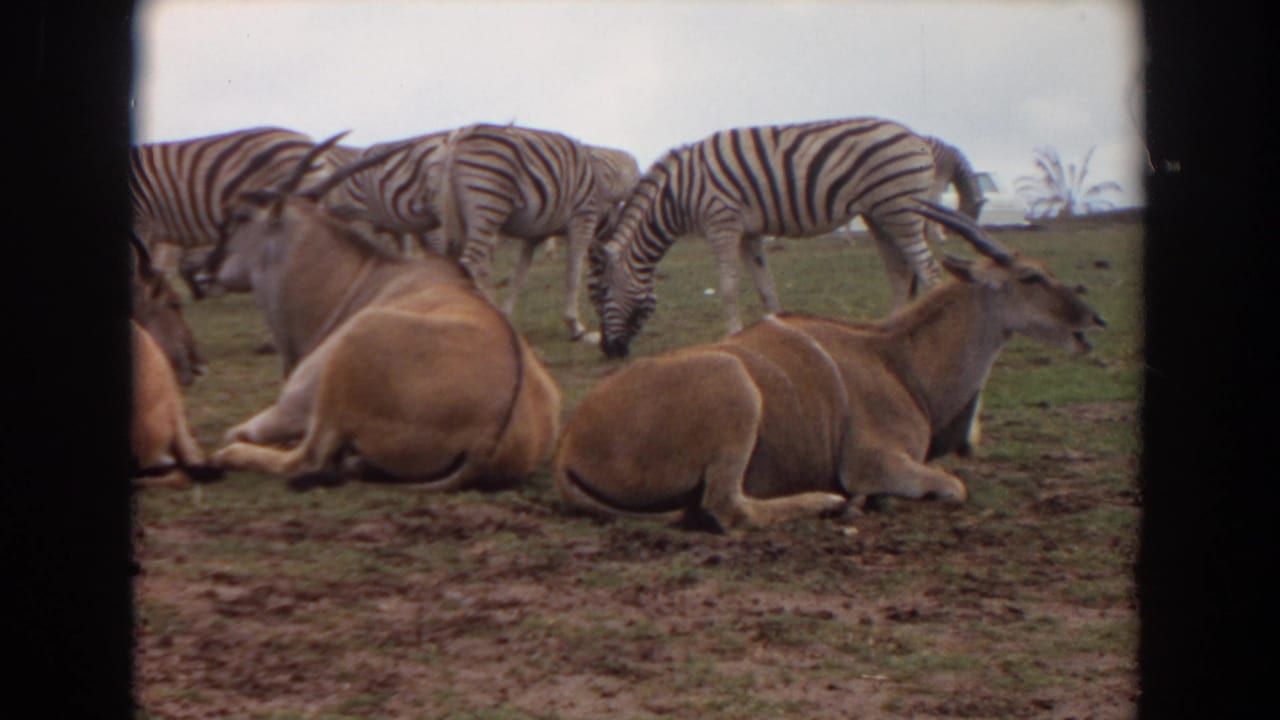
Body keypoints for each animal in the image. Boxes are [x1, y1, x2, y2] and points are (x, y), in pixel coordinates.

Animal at [434, 123, 641, 341]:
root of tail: (459, 137)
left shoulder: (534, 235)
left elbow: (519, 278)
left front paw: (506, 316)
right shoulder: (583, 220)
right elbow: (573, 272)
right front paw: (576, 327)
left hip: (456, 218)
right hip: (488, 207)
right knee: (469, 264)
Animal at [587, 117, 941, 359]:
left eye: (603, 294)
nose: (609, 351)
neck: (678, 196)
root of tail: (916, 136)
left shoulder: (722, 223)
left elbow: (728, 287)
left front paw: (731, 336)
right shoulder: (750, 233)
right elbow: (765, 287)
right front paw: (775, 332)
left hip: (900, 210)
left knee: (929, 271)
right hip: (878, 216)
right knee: (899, 273)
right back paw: (888, 333)